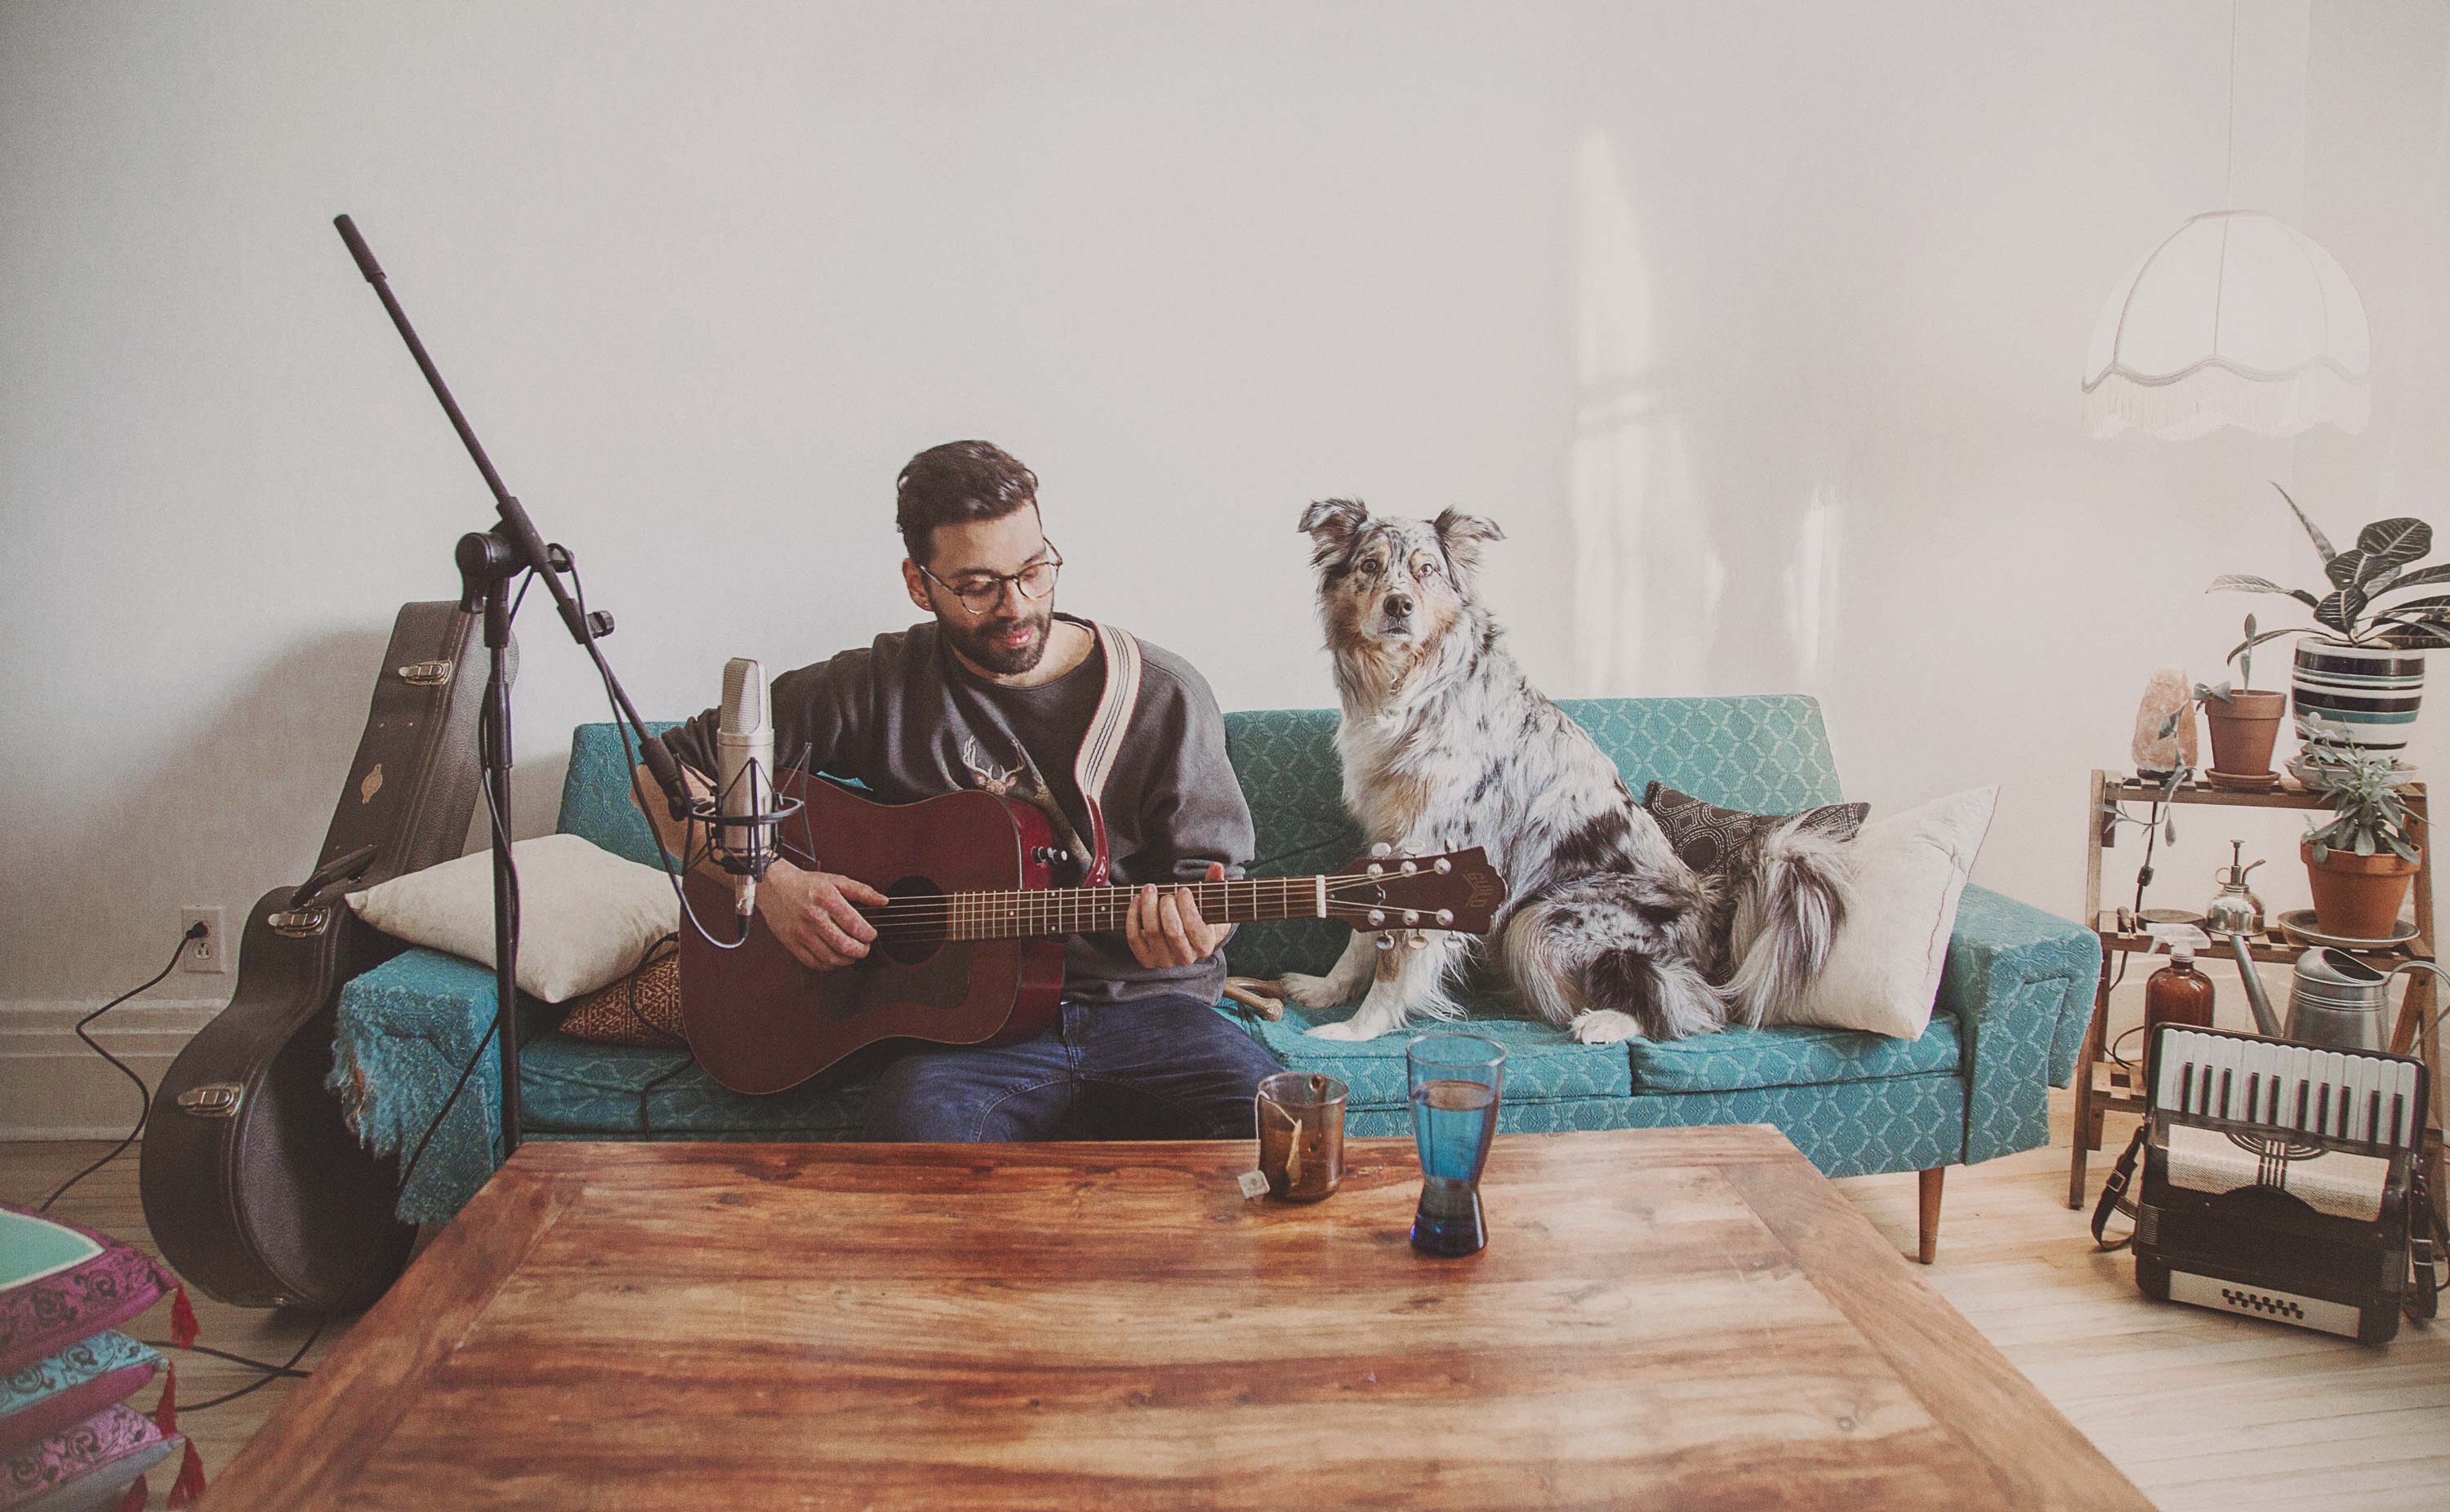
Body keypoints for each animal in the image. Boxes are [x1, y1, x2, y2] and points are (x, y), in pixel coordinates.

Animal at [1294, 502, 1842, 1043]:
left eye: (1425, 570)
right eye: (1370, 565)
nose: (1399, 606)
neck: (1411, 685)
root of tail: (1716, 932)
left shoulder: (1433, 843)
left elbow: (1397, 957)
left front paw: (1358, 1029)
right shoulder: (1387, 835)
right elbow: (1362, 931)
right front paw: (1326, 990)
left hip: (1541, 918)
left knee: (1689, 1001)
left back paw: (1604, 1022)